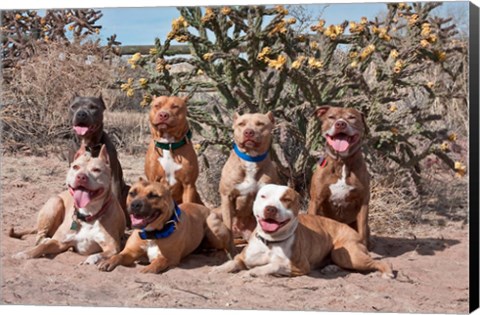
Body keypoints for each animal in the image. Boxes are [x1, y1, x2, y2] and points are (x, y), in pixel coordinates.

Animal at [97, 178, 229, 274]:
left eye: (153, 195)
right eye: (132, 193)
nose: (135, 204)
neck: (152, 234)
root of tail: (208, 209)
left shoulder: (170, 257)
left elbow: (158, 262)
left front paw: (148, 268)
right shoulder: (130, 252)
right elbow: (119, 255)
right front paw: (109, 261)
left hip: (213, 231)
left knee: (224, 245)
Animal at [214, 185, 394, 278]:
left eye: (286, 199)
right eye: (263, 196)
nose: (270, 208)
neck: (271, 242)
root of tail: (353, 231)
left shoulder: (300, 266)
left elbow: (274, 265)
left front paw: (256, 271)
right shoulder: (242, 257)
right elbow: (232, 262)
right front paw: (218, 268)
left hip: (346, 254)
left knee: (379, 262)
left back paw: (387, 272)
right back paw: (330, 268)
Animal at [308, 107, 372, 248]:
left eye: (352, 117)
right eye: (331, 117)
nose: (340, 124)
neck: (342, 161)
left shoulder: (363, 202)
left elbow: (362, 231)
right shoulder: (316, 200)